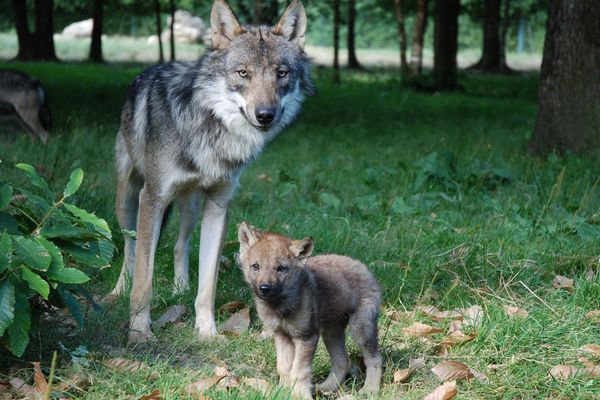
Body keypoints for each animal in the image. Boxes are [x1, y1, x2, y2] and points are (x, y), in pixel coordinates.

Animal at [109, 0, 314, 344]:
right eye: (243, 73)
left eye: (281, 73)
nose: (265, 115)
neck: (211, 128)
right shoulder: (153, 198)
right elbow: (143, 280)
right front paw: (139, 332)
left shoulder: (218, 206)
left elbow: (208, 284)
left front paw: (207, 332)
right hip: (128, 198)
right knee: (130, 248)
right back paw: (117, 291)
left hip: (190, 207)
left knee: (179, 244)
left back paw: (180, 288)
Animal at [237, 223, 382, 398]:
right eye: (255, 266)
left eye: (281, 268)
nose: (264, 288)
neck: (280, 306)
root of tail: (364, 267)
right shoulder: (281, 335)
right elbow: (284, 368)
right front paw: (283, 392)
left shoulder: (306, 337)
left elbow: (299, 372)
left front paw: (301, 396)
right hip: (331, 333)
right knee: (342, 361)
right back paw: (325, 388)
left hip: (360, 330)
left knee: (374, 359)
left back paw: (370, 389)